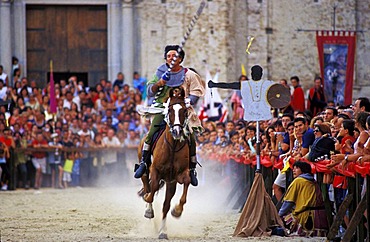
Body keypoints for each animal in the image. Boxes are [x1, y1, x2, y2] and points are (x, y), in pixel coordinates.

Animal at [138, 86, 191, 239]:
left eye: (184, 111)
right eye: (170, 110)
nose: (177, 131)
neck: (172, 146)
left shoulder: (178, 176)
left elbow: (187, 182)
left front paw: (177, 210)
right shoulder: (155, 171)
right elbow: (151, 190)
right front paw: (148, 207)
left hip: (170, 183)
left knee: (165, 205)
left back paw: (163, 231)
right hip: (145, 169)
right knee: (147, 183)